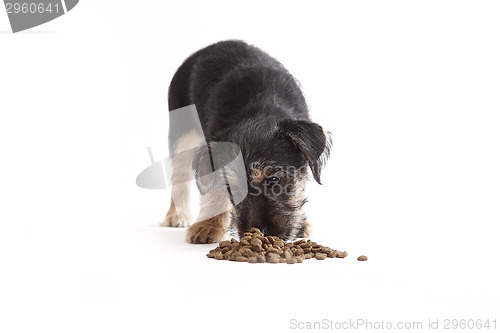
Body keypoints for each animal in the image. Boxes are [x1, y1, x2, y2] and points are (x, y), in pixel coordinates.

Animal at [162, 40, 330, 244]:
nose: (258, 232)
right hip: (182, 133)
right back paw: (176, 216)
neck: (260, 108)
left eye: (274, 180)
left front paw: (301, 225)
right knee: (179, 174)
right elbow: (213, 189)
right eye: (232, 189)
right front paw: (208, 226)